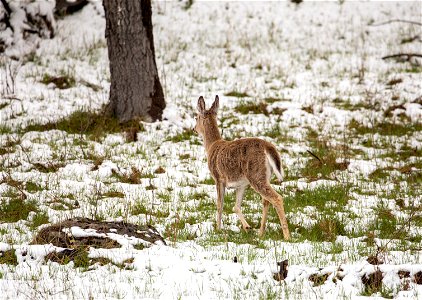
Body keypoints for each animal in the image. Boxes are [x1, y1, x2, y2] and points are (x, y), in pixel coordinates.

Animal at [195, 95, 290, 240]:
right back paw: (260, 233)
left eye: (196, 117)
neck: (211, 146)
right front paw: (247, 227)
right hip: (264, 175)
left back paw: (287, 236)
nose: (194, 129)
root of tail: (267, 147)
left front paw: (218, 229)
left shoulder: (218, 178)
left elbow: (219, 204)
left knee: (276, 198)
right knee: (266, 200)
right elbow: (236, 206)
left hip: (255, 174)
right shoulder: (241, 184)